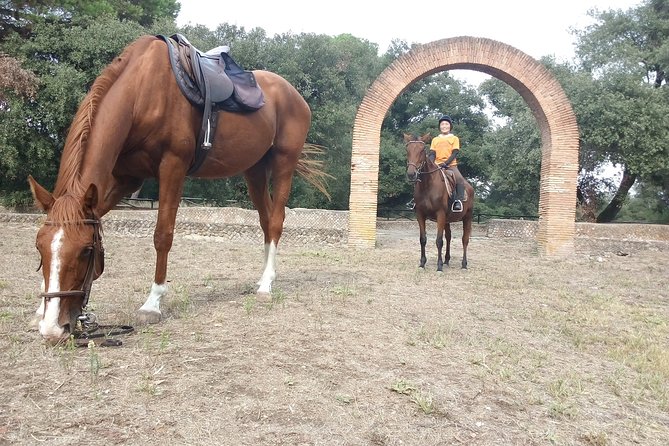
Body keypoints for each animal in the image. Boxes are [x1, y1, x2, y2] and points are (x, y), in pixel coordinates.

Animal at [27, 35, 328, 344]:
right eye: (39, 247)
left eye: (87, 251)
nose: (53, 328)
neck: (141, 93)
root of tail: (296, 96)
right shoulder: (124, 178)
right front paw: (40, 310)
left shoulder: (172, 166)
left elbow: (163, 235)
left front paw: (152, 304)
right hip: (254, 170)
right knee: (266, 221)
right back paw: (262, 278)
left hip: (283, 164)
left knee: (277, 221)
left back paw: (266, 285)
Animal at [404, 133, 474, 272]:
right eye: (407, 150)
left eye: (422, 150)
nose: (411, 174)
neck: (428, 185)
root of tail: (470, 187)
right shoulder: (420, 214)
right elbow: (423, 239)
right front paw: (422, 263)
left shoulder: (440, 214)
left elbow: (439, 241)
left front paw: (439, 266)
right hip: (447, 220)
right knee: (449, 237)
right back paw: (447, 260)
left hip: (467, 217)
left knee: (465, 239)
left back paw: (464, 264)